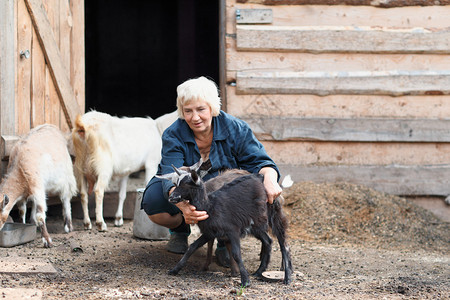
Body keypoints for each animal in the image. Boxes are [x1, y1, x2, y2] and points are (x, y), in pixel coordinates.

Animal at [157, 165, 292, 288]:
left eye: (185, 185)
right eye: (176, 183)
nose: (171, 197)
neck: (210, 206)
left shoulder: (233, 230)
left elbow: (236, 253)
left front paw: (245, 281)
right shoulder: (209, 232)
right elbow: (192, 247)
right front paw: (175, 270)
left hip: (273, 212)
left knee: (283, 243)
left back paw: (287, 277)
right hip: (256, 224)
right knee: (268, 241)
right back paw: (259, 272)